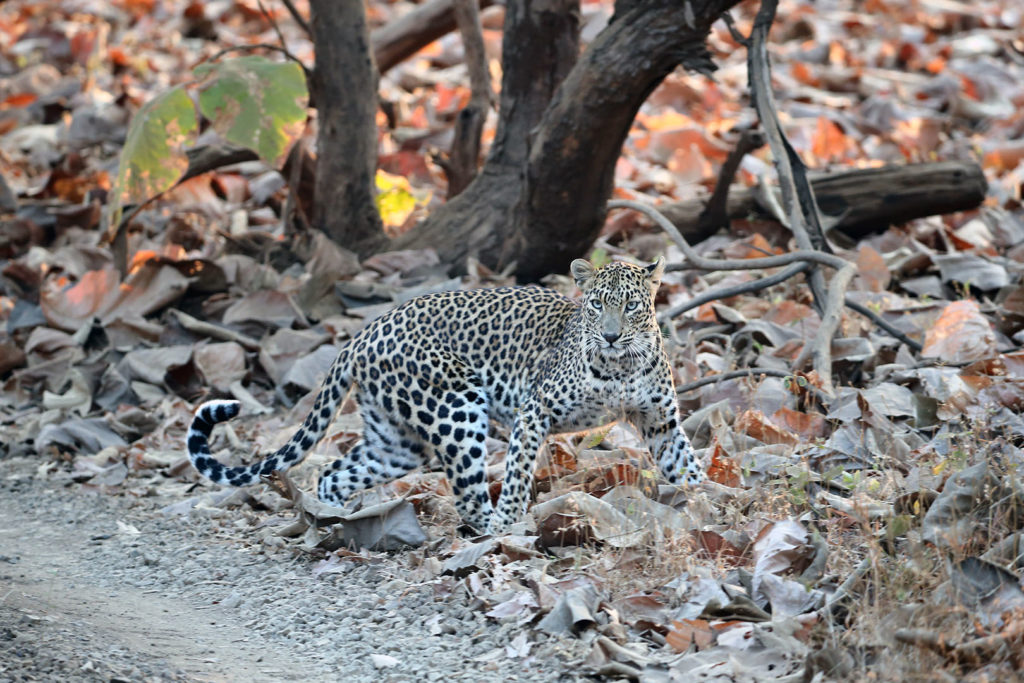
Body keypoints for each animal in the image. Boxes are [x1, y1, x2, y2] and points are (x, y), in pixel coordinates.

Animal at [188, 255, 704, 532]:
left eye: (632, 306)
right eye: (597, 305)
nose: (612, 336)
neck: (623, 366)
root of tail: (363, 332)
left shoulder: (660, 422)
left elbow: (687, 465)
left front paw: (708, 505)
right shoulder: (534, 410)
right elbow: (517, 473)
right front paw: (509, 522)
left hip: (396, 442)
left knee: (335, 473)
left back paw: (332, 521)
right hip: (455, 409)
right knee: (469, 498)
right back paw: (495, 535)